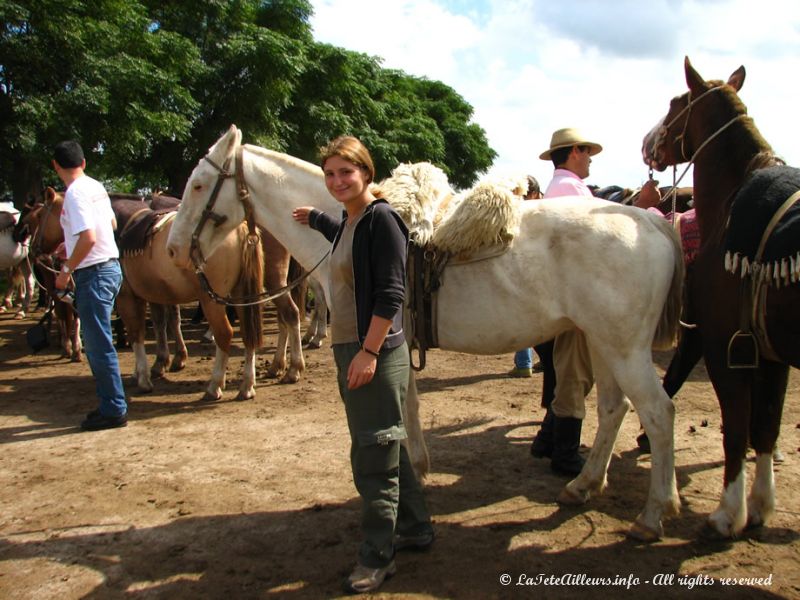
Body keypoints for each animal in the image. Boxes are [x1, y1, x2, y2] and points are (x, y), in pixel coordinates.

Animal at [167, 124, 680, 540]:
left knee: (658, 413)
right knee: (614, 409)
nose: (172, 249)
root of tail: (647, 219)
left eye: (198, 185)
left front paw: (408, 475)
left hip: (624, 349)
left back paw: (654, 515)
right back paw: (584, 484)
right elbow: (407, 406)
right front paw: (416, 470)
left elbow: (397, 409)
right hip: (602, 342)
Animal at [644, 56, 800, 536]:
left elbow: (737, 426)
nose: (646, 143)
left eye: (676, 102)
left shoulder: (725, 347)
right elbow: (765, 424)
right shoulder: (771, 354)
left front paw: (729, 513)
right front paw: (761, 505)